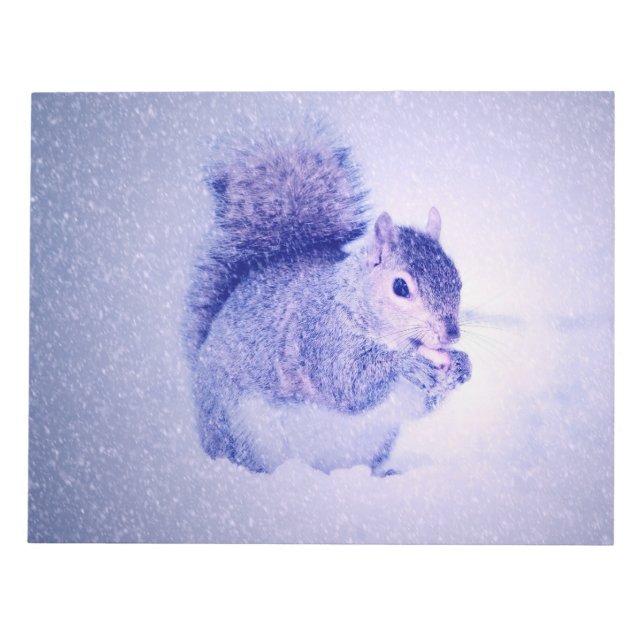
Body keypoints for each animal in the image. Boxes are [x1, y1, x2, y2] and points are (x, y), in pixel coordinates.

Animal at [183, 126, 471, 475]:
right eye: (400, 287)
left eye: (458, 280)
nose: (450, 334)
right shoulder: (319, 335)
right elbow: (347, 380)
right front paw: (406, 364)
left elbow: (418, 404)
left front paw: (462, 365)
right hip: (242, 432)